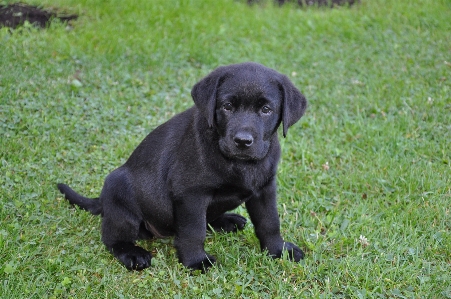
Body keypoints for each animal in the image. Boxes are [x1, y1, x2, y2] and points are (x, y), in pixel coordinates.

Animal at [57, 62, 308, 274]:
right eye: (227, 106)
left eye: (266, 109)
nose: (243, 141)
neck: (238, 163)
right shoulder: (190, 195)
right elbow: (193, 231)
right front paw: (196, 261)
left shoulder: (264, 190)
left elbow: (269, 223)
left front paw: (279, 250)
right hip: (119, 192)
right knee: (113, 238)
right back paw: (132, 253)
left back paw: (227, 220)